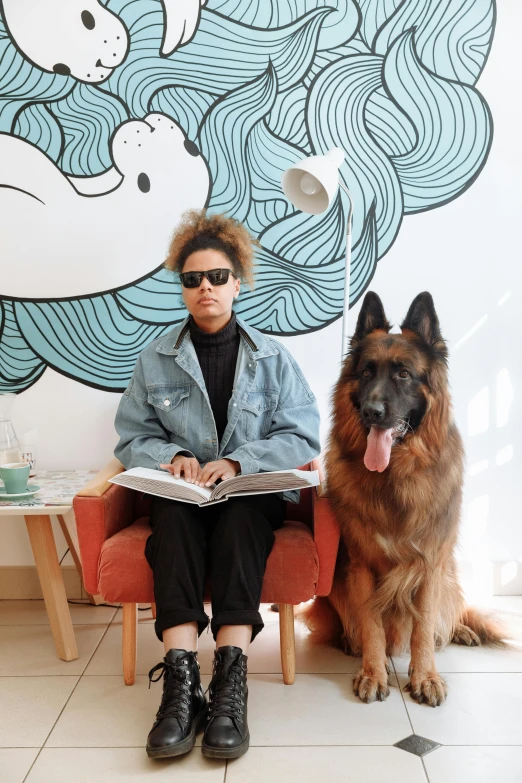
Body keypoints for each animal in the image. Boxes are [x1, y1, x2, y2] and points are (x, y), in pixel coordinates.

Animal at [302, 294, 502, 712]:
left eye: (404, 374)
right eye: (366, 372)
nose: (371, 412)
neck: (395, 477)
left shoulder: (430, 564)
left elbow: (424, 626)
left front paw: (424, 677)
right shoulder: (361, 565)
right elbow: (372, 624)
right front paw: (374, 672)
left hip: (449, 574)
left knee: (449, 614)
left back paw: (461, 631)